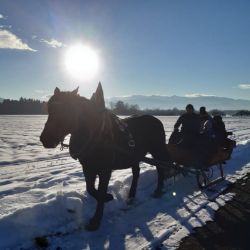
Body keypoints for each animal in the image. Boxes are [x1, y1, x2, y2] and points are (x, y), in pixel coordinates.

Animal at [40, 83, 170, 231]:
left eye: (67, 110)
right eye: (49, 109)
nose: (45, 139)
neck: (96, 135)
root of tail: (156, 120)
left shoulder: (105, 170)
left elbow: (100, 191)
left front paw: (96, 220)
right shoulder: (88, 168)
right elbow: (91, 189)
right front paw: (108, 198)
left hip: (157, 150)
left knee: (160, 169)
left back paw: (158, 190)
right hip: (134, 156)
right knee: (136, 173)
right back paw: (131, 196)